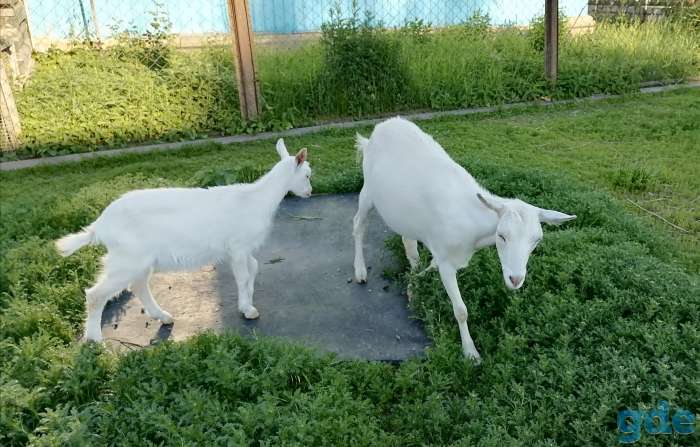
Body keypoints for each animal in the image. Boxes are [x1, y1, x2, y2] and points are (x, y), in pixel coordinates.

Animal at [56, 139, 312, 342]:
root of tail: (100, 225)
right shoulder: (238, 246)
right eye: (308, 174)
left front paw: (247, 303)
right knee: (96, 294)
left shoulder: (243, 249)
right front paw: (248, 309)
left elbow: (254, 268)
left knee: (138, 285)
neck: (257, 199)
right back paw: (95, 340)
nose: (310, 191)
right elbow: (243, 276)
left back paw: (164, 317)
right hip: (127, 259)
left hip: (137, 260)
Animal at [353, 117, 575, 362]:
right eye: (501, 235)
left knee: (407, 241)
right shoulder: (447, 263)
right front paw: (471, 353)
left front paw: (413, 286)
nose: (515, 279)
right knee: (358, 225)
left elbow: (429, 265)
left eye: (536, 241)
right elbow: (461, 310)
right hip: (368, 191)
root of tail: (380, 129)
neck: (472, 229)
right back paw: (360, 271)